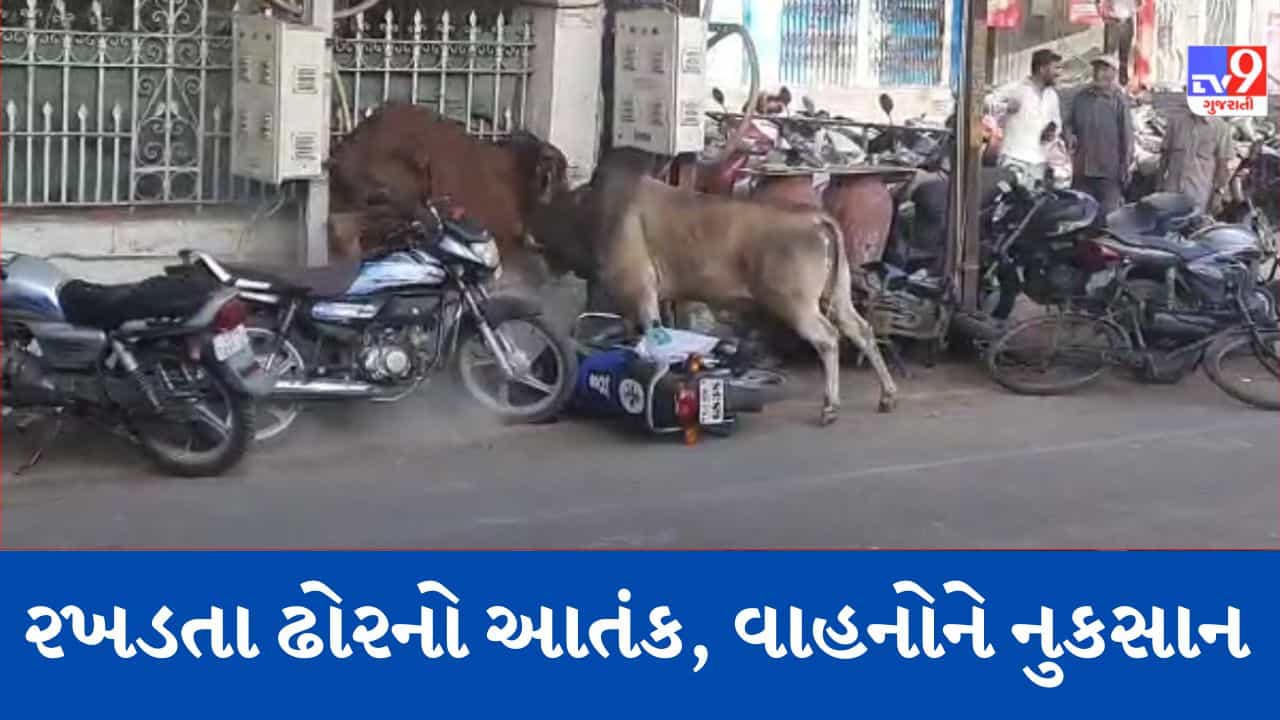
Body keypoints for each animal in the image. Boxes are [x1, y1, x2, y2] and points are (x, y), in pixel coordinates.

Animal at [527, 159, 900, 425]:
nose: (533, 243)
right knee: (861, 330)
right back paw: (888, 396)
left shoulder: (640, 287)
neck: (591, 211)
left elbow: (651, 335)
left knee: (828, 339)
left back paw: (830, 407)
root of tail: (818, 218)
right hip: (837, 296)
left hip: (796, 304)